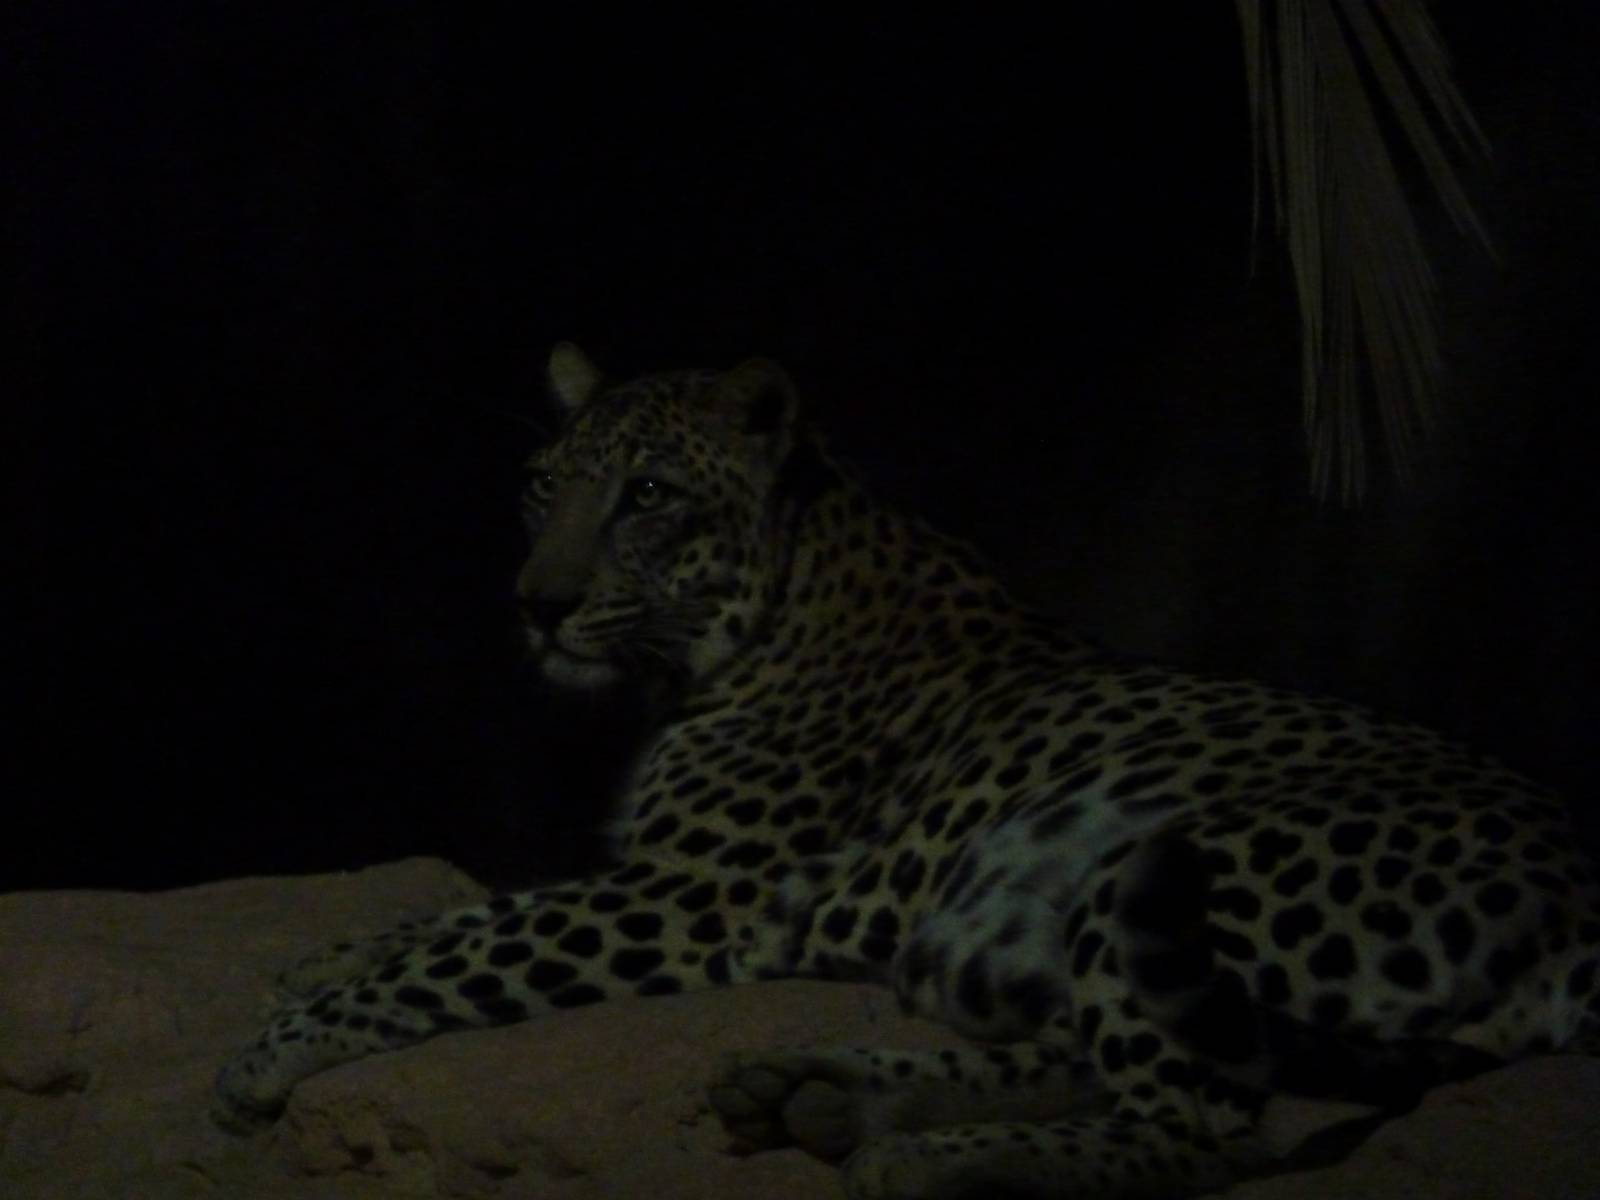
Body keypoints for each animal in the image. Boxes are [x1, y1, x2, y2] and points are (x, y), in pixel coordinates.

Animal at [215, 343, 1600, 1199]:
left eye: (647, 495)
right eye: (539, 488)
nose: (535, 606)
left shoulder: (696, 896)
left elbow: (478, 950)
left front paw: (278, 1047)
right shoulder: (651, 875)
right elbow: (472, 913)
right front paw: (328, 957)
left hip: (1184, 873)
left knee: (1208, 1125)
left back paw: (932, 1159)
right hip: (995, 938)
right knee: (1111, 1058)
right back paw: (820, 1092)